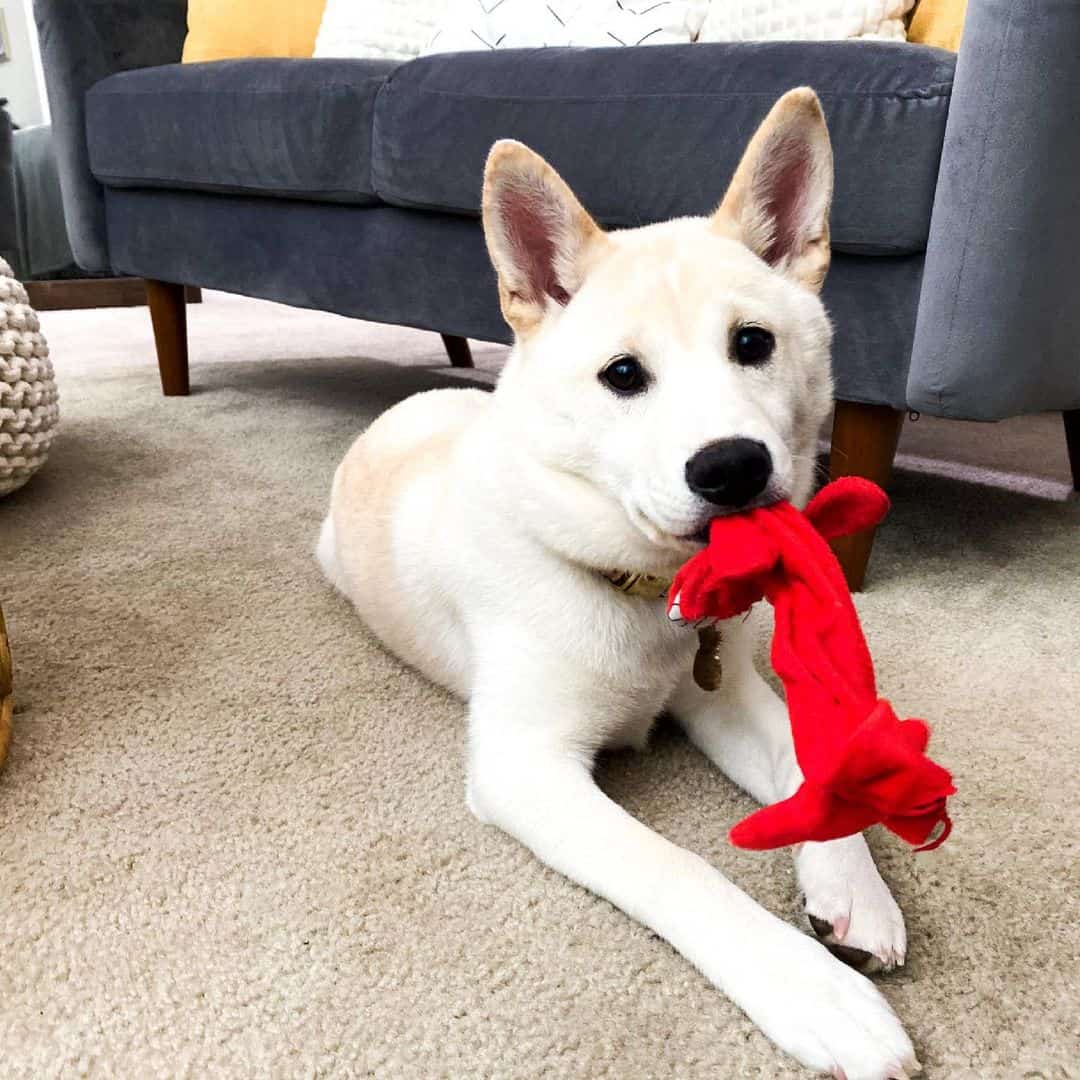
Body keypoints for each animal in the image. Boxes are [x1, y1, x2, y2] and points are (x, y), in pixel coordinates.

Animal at [317, 90, 920, 1080]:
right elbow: (680, 869)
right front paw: (815, 991)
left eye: (753, 343)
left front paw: (851, 887)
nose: (732, 467)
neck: (640, 589)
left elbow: (809, 767)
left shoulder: (729, 699)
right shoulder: (526, 767)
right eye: (624, 375)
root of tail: (414, 403)